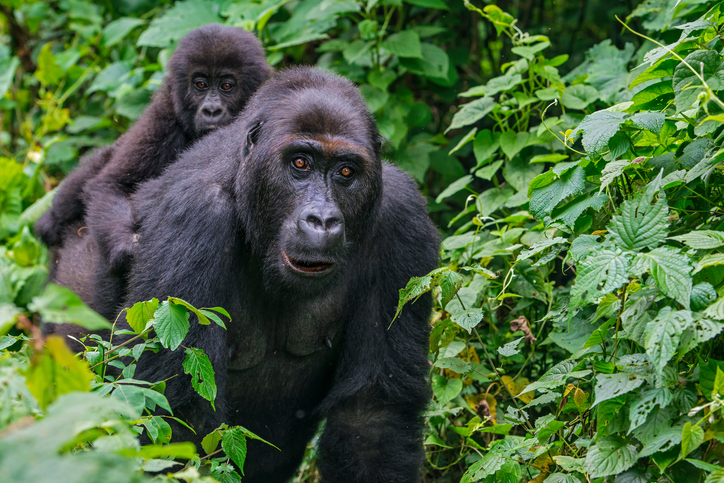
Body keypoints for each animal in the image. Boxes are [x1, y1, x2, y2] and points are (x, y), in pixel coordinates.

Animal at [34, 23, 272, 306]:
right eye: (200, 84)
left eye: (227, 86)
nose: (211, 110)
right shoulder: (163, 117)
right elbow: (112, 184)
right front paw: (127, 247)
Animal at [118, 69, 438, 483]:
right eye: (300, 163)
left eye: (346, 172)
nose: (322, 220)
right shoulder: (193, 215)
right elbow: (176, 418)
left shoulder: (403, 219)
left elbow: (372, 416)